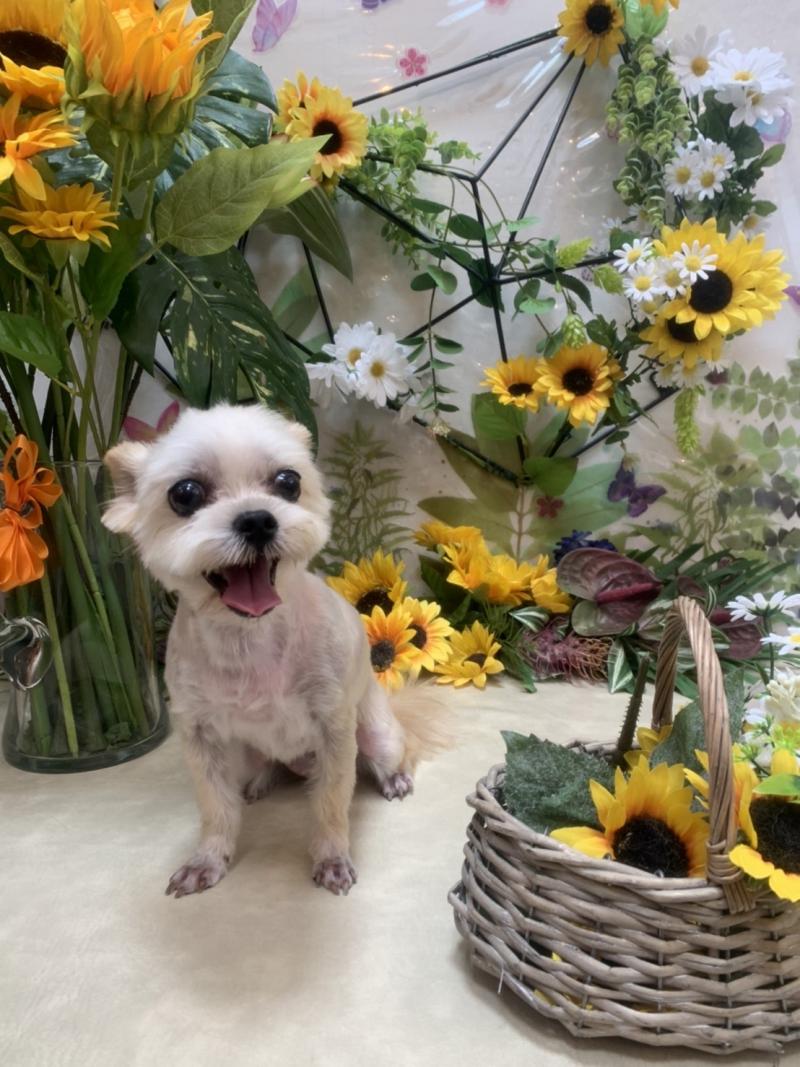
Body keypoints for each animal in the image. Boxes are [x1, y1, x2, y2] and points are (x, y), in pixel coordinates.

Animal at [102, 404, 448, 897]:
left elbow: (330, 804)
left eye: (288, 482)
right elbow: (215, 808)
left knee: (387, 756)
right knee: (258, 770)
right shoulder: (200, 736)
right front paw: (208, 860)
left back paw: (394, 777)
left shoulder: (333, 731)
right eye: (185, 494)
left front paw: (332, 859)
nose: (257, 520)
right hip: (245, 755)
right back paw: (260, 782)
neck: (250, 640)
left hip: (375, 734)